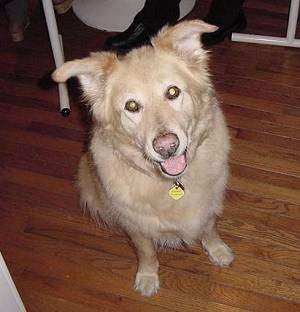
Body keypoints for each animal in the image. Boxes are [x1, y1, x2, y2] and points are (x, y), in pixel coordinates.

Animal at [52, 20, 234, 298]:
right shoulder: (136, 226)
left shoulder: (209, 205)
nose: (167, 146)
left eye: (173, 92)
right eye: (132, 106)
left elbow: (210, 229)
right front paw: (148, 278)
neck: (173, 183)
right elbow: (147, 253)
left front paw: (218, 250)